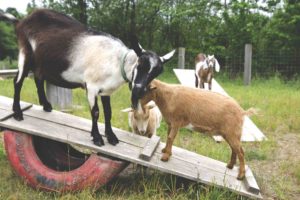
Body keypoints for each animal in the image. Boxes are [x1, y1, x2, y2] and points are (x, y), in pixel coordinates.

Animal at [1, 9, 176, 146]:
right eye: (139, 64)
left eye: (156, 73)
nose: (139, 91)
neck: (116, 61)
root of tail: (20, 22)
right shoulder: (91, 87)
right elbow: (96, 112)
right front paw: (97, 138)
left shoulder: (106, 91)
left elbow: (108, 113)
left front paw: (111, 137)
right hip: (25, 52)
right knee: (17, 81)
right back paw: (17, 113)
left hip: (41, 60)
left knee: (38, 78)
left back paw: (46, 106)